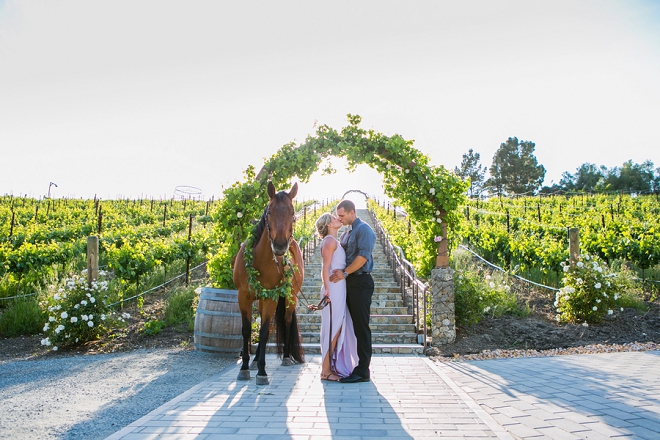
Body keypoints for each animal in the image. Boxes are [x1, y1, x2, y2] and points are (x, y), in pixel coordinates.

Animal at [233, 180, 306, 384]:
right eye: (269, 212)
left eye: (292, 212)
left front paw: (262, 372)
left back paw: (287, 357)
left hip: (290, 296)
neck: (260, 261)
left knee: (286, 320)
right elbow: (246, 330)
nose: (280, 245)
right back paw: (255, 360)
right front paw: (244, 367)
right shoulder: (243, 296)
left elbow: (265, 331)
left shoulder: (271, 298)